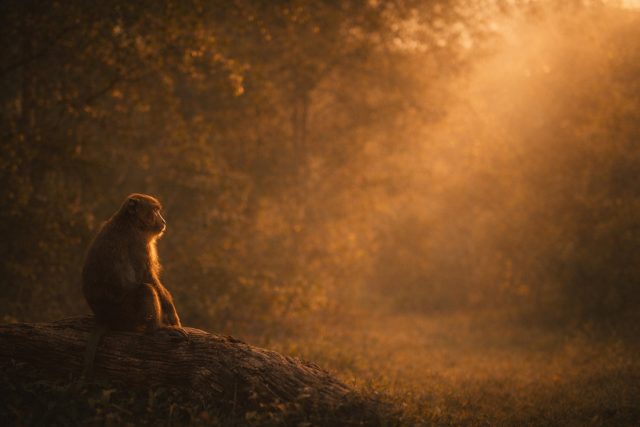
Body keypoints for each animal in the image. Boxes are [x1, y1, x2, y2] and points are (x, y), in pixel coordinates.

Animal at [80, 193, 187, 379]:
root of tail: (103, 317)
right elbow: (147, 277)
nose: (163, 221)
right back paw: (156, 330)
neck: (131, 223)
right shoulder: (139, 244)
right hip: (124, 314)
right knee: (145, 290)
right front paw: (171, 312)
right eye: (155, 211)